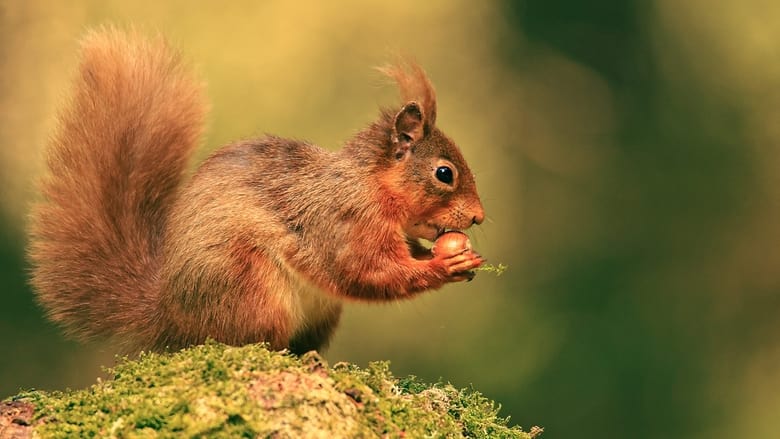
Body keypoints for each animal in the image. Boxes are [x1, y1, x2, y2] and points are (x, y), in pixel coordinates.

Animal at [27, 27, 484, 356]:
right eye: (444, 173)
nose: (479, 217)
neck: (369, 184)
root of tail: (170, 316)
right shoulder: (344, 221)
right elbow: (365, 271)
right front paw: (444, 265)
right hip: (250, 288)